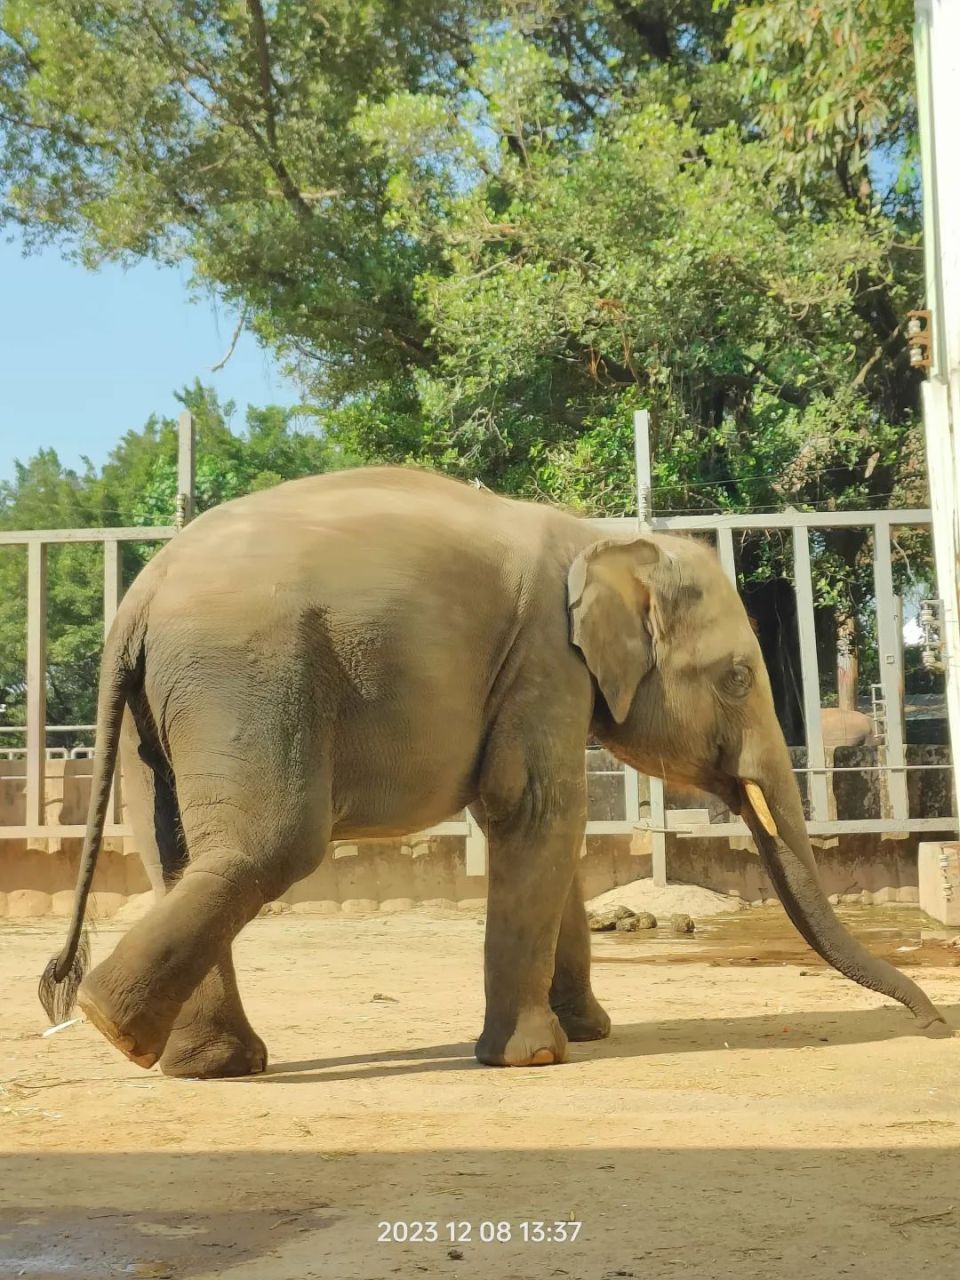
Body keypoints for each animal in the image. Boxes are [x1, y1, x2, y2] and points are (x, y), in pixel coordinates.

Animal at [39, 466, 947, 1077]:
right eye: (734, 678)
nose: (937, 1025)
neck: (601, 537)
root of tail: (140, 595)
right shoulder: (545, 659)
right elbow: (536, 810)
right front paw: (538, 1057)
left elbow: (552, 831)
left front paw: (590, 1031)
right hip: (247, 674)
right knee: (268, 847)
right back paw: (115, 1026)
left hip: (169, 704)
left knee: (175, 854)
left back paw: (199, 1061)